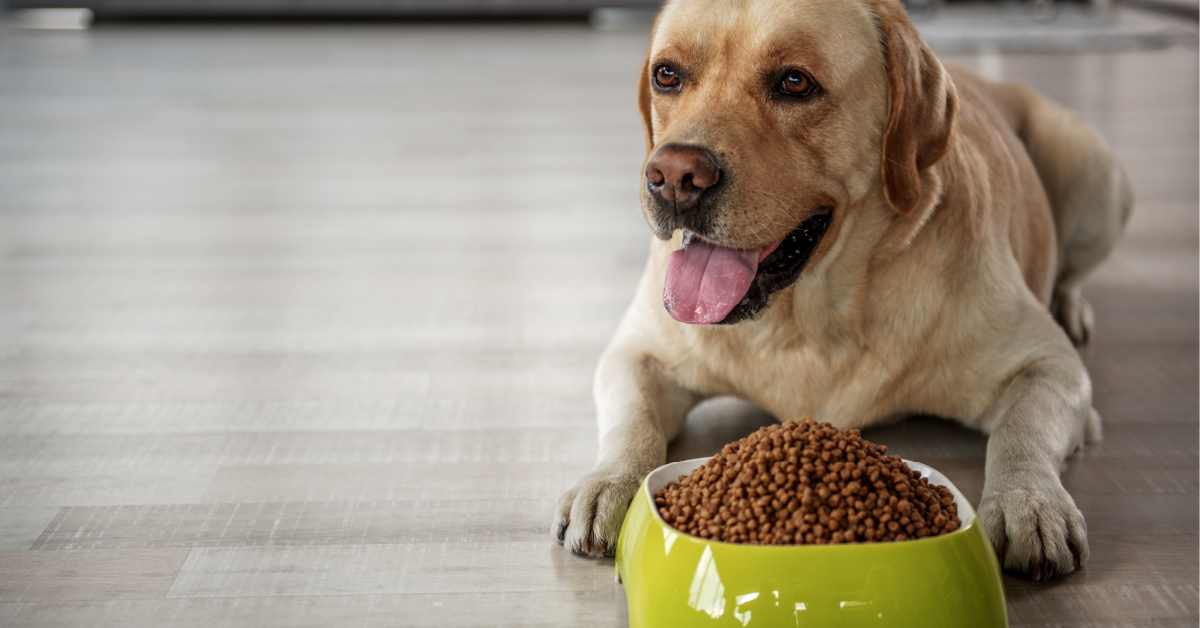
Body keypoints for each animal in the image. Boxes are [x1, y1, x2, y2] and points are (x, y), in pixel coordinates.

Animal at [556, 0, 1128, 581]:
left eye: (794, 82)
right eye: (667, 75)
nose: (673, 175)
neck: (807, 322)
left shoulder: (1051, 366)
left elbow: (1019, 431)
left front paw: (1027, 502)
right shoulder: (635, 353)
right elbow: (634, 422)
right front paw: (611, 484)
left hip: (1096, 173)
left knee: (1073, 272)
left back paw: (1071, 306)